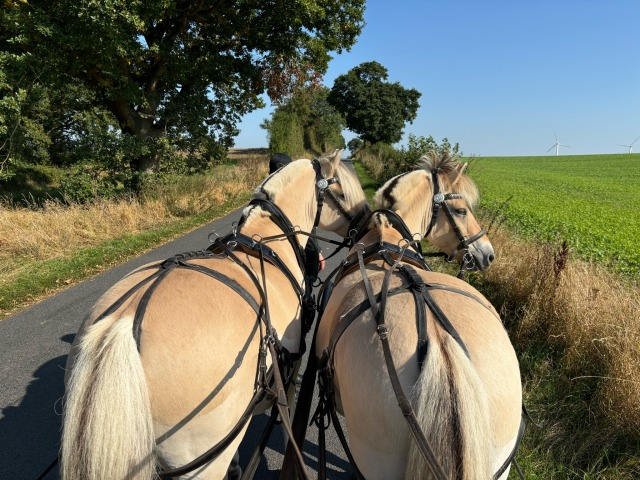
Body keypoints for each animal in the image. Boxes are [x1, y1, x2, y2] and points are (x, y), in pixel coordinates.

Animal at [62, 151, 368, 480]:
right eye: (342, 192)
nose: (366, 222)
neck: (266, 241)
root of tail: (125, 321)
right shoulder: (289, 366)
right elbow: (288, 418)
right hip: (202, 459)